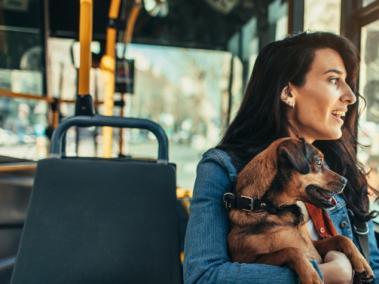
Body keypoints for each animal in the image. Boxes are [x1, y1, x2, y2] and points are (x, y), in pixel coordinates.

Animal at [226, 136, 374, 282]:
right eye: (318, 162)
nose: (345, 181)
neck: (270, 207)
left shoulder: (313, 246)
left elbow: (341, 238)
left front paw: (362, 262)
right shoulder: (248, 260)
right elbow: (291, 250)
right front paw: (311, 276)